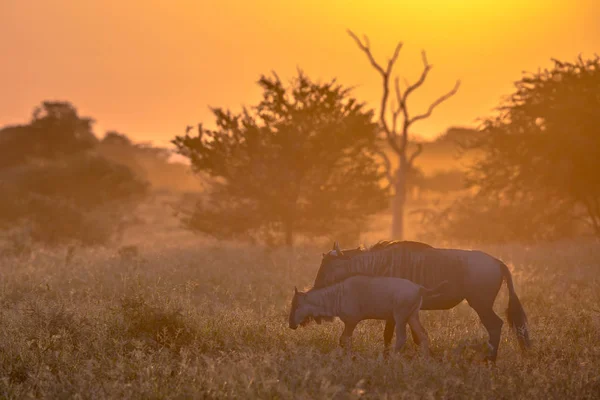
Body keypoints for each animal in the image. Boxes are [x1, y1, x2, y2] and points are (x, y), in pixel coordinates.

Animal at [288, 276, 448, 354]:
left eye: (296, 305)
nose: (290, 324)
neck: (336, 294)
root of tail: (419, 287)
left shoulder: (351, 322)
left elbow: (344, 340)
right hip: (412, 316)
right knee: (423, 335)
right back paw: (425, 358)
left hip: (400, 317)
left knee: (402, 337)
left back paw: (391, 358)